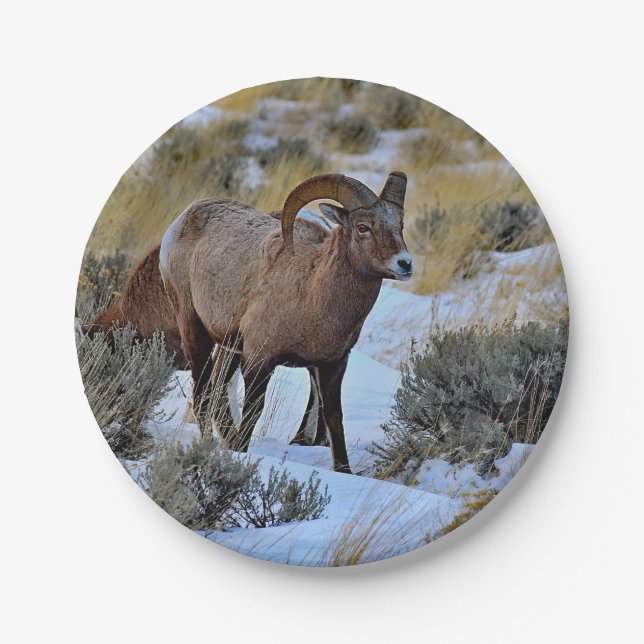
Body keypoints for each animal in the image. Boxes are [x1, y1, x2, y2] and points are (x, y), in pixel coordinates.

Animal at [161, 172, 411, 474]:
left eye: (399, 225)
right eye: (363, 227)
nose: (404, 264)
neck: (313, 293)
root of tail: (184, 218)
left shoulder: (333, 365)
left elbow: (334, 418)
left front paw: (344, 471)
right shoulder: (259, 360)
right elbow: (253, 413)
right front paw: (240, 453)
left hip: (229, 347)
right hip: (194, 330)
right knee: (203, 396)